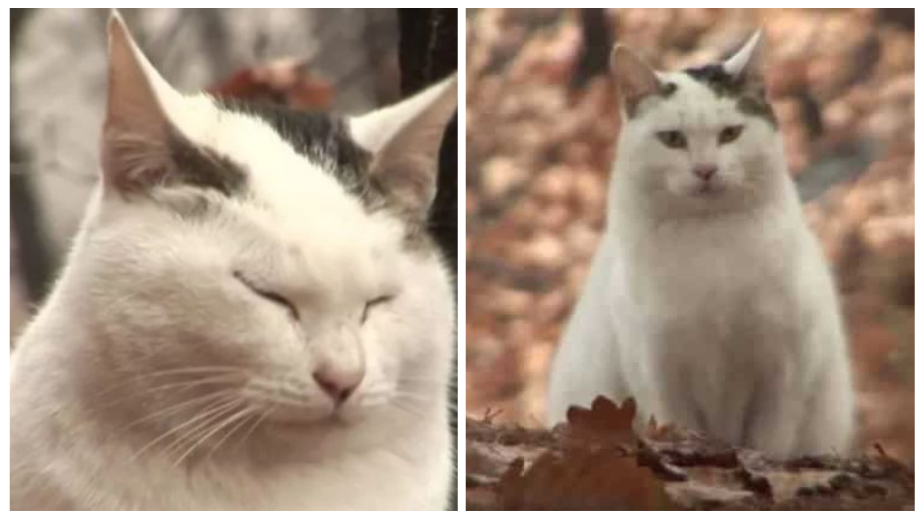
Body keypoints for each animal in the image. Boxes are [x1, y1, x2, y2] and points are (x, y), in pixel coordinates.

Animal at [544, 31, 856, 460]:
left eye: (730, 134)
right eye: (672, 139)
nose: (705, 170)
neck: (711, 239)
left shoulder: (785, 368)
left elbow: (770, 441)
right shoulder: (659, 371)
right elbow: (677, 425)